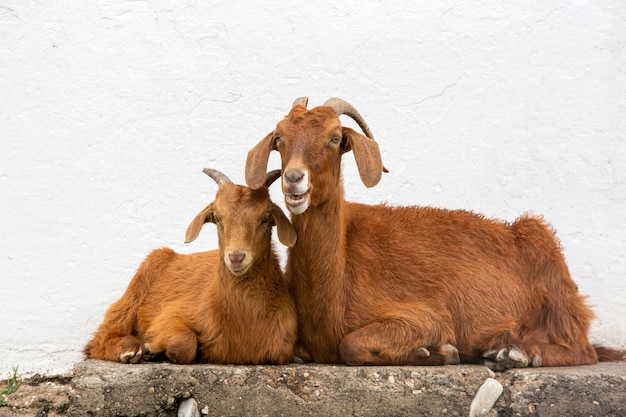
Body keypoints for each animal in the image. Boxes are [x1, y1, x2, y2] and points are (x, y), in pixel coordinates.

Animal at [84, 167, 296, 362]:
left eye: (265, 218)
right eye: (217, 218)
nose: (236, 257)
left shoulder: (282, 346)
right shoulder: (171, 314)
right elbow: (184, 343)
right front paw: (152, 348)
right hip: (136, 289)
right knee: (100, 336)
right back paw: (129, 349)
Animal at [246, 96, 620, 368]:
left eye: (335, 138)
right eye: (279, 138)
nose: (294, 179)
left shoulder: (426, 317)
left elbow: (350, 344)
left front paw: (437, 353)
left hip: (553, 281)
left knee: (582, 349)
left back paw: (520, 353)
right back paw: (503, 349)